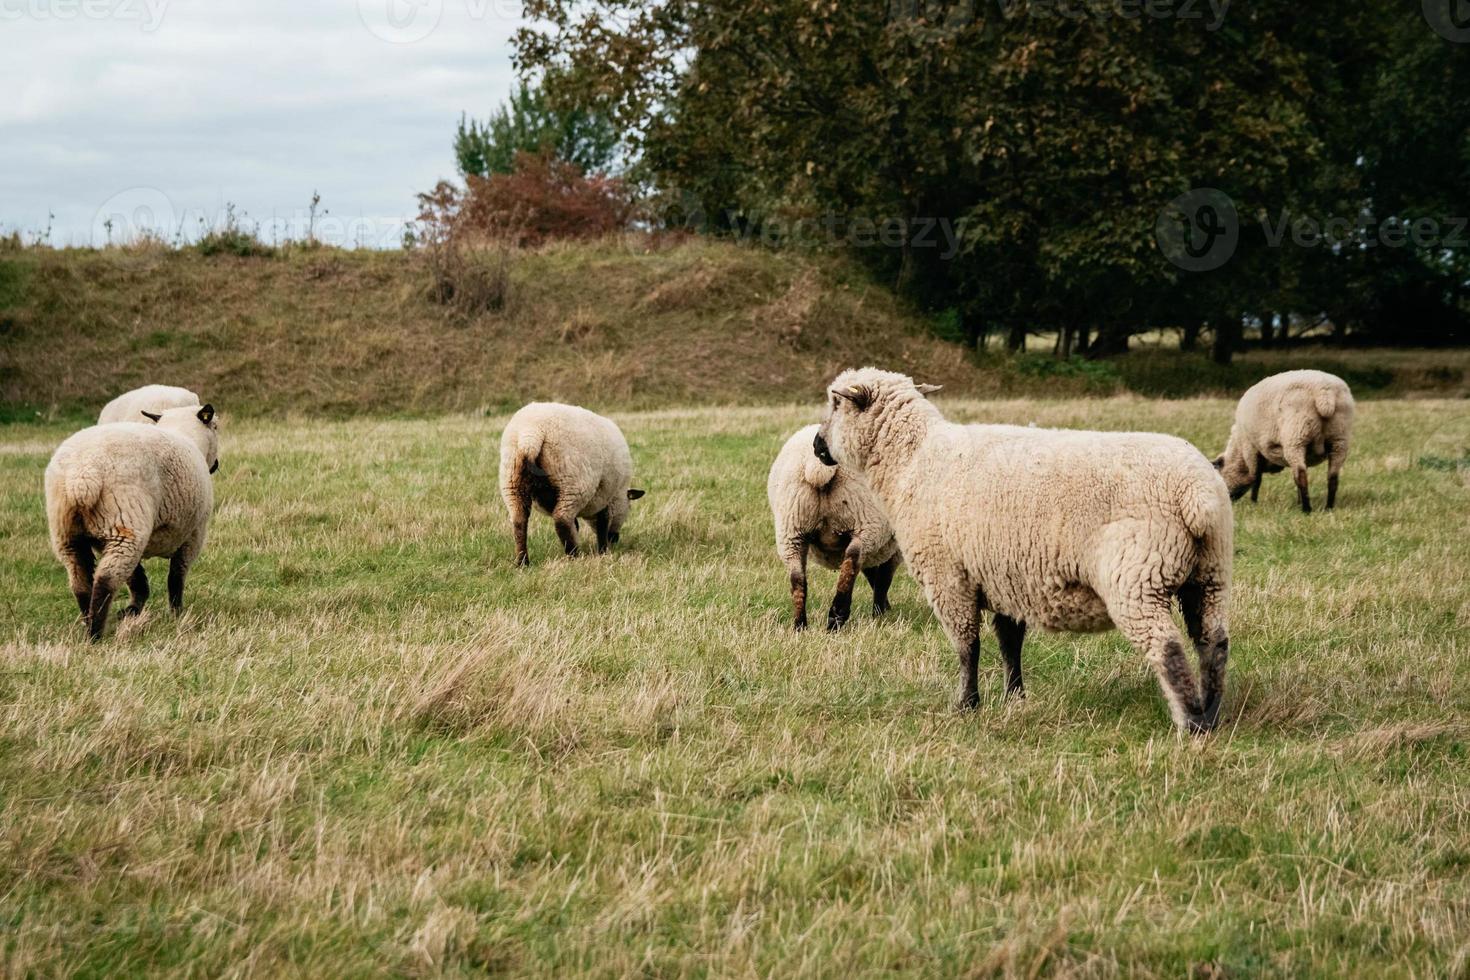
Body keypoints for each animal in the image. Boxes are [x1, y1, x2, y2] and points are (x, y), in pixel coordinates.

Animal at [45, 402, 220, 640]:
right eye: (216, 427)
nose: (216, 465)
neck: (188, 437)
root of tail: (81, 476)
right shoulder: (194, 534)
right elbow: (176, 577)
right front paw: (177, 613)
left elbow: (136, 579)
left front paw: (132, 611)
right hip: (125, 525)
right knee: (105, 580)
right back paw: (95, 634)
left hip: (69, 535)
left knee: (80, 581)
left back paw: (89, 623)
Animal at [499, 399, 643, 567]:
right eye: (629, 508)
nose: (615, 539)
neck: (619, 493)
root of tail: (530, 435)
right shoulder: (606, 496)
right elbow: (602, 524)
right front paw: (603, 551)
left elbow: (577, 525)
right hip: (572, 482)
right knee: (562, 519)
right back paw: (574, 555)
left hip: (512, 482)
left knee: (519, 521)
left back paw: (523, 562)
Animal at [764, 426, 899, 631]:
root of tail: (817, 466)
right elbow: (883, 579)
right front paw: (881, 611)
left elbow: (873, 575)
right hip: (865, 520)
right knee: (852, 558)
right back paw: (837, 616)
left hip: (791, 530)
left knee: (797, 578)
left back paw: (800, 625)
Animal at [811, 370, 1234, 734]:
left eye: (835, 403)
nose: (816, 445)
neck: (912, 460)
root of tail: (1196, 492)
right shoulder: (1003, 577)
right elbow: (1009, 643)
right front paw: (1014, 697)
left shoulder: (947, 575)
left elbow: (967, 646)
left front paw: (966, 704)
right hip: (1209, 573)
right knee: (1213, 643)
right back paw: (1211, 713)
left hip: (1138, 576)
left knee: (1168, 648)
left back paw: (1191, 724)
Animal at [1211, 370, 1346, 514]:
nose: (1230, 502)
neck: (1239, 450)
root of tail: (1324, 394)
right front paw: (1298, 501)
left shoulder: (1251, 448)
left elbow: (1256, 478)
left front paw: (1253, 502)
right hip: (1339, 440)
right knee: (1332, 477)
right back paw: (1328, 507)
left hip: (1295, 438)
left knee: (1302, 475)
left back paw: (1306, 509)